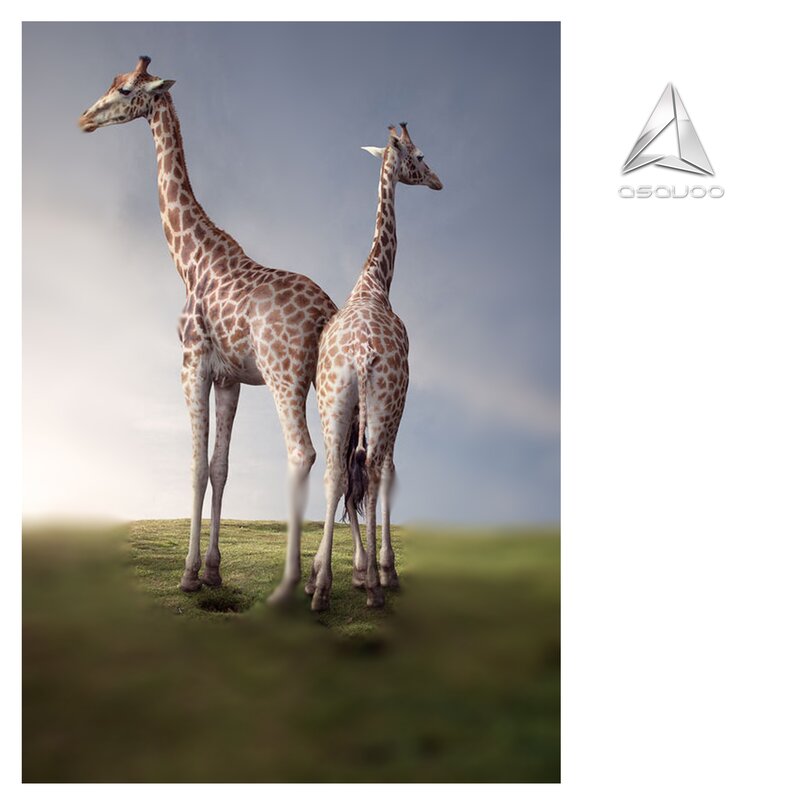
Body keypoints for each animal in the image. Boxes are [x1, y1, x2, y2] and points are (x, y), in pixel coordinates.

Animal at [78, 56, 338, 603]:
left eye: (126, 89)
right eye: (112, 82)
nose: (85, 119)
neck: (190, 260)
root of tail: (327, 314)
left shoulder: (192, 359)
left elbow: (196, 467)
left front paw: (189, 574)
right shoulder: (230, 377)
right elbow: (220, 468)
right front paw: (214, 570)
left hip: (285, 377)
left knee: (302, 454)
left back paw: (295, 586)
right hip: (327, 384)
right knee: (345, 462)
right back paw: (321, 583)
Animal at [305, 123, 442, 611]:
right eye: (420, 156)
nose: (438, 181)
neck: (373, 283)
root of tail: (362, 355)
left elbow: (352, 481)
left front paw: (351, 571)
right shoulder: (401, 402)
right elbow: (387, 475)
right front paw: (382, 570)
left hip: (334, 403)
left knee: (337, 474)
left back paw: (321, 586)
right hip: (382, 402)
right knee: (376, 471)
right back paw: (375, 585)